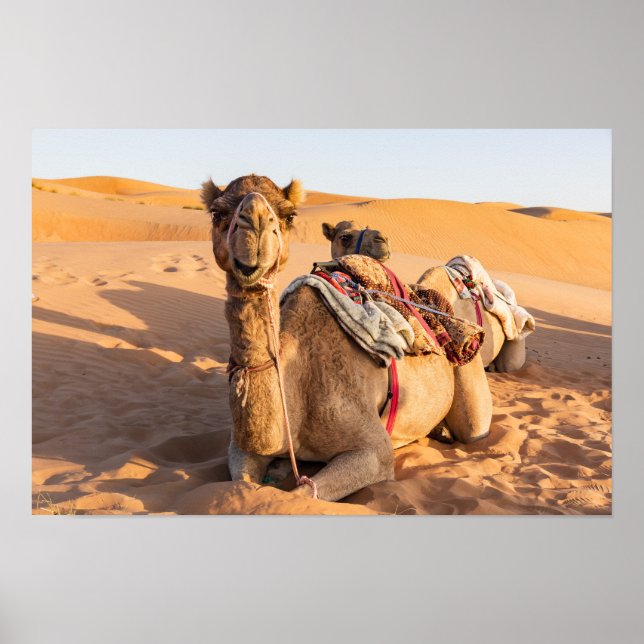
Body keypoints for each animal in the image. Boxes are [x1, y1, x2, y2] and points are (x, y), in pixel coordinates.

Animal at [202, 175, 492, 502]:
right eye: (216, 213)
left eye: (289, 215)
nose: (255, 225)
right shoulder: (241, 448)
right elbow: (244, 484)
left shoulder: (374, 450)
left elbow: (300, 495)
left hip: (469, 380)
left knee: (473, 428)